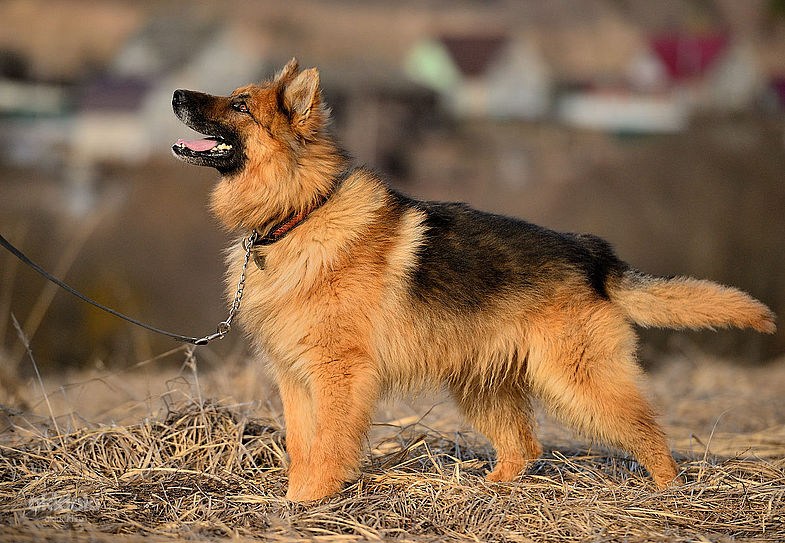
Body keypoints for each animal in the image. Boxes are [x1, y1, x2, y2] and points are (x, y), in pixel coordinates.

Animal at [168, 58, 776, 502]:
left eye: (240, 104)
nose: (175, 95)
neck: (301, 212)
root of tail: (592, 254)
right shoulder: (295, 379)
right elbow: (301, 444)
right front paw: (295, 499)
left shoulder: (339, 376)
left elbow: (329, 445)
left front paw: (313, 499)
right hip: (484, 385)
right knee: (525, 448)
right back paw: (490, 488)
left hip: (578, 381)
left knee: (647, 432)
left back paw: (670, 492)